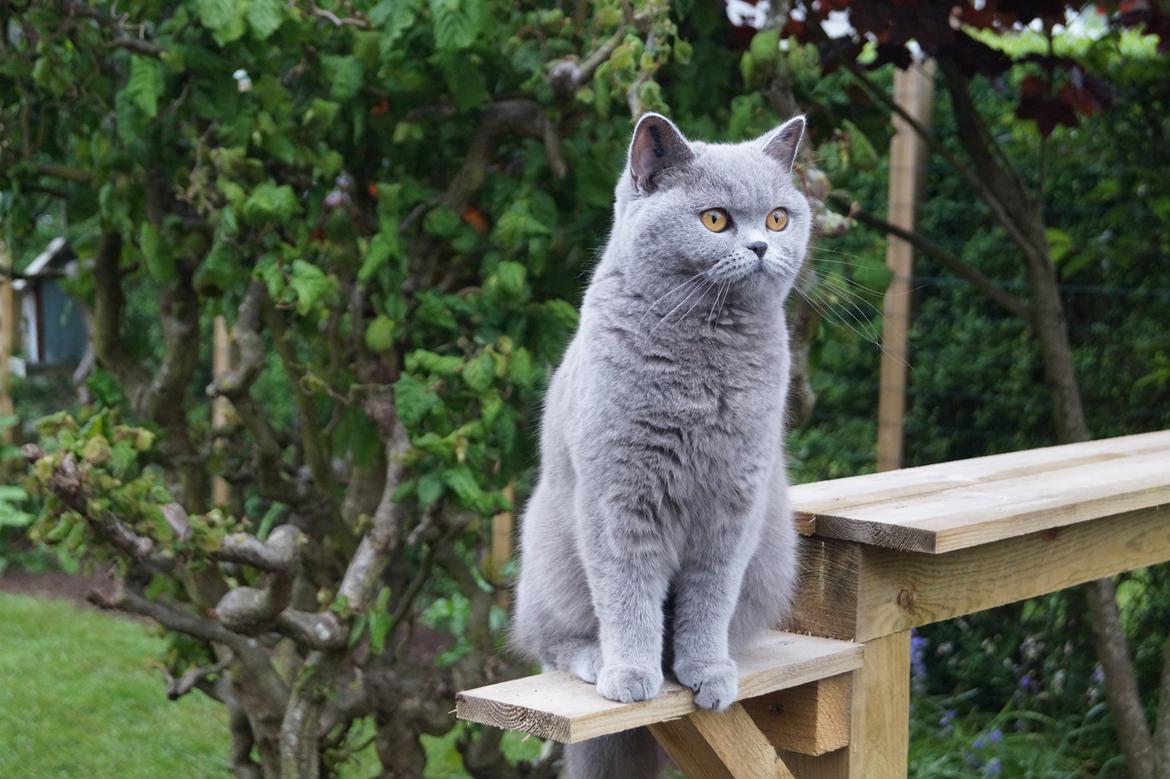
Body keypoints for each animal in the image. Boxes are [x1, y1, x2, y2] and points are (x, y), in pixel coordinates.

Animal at [512, 110, 814, 776]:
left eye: (778, 218)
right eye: (715, 220)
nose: (760, 246)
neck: (708, 352)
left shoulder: (735, 501)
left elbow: (709, 596)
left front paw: (706, 673)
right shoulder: (618, 496)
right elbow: (627, 590)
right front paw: (632, 674)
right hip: (547, 548)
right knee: (547, 640)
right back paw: (596, 660)